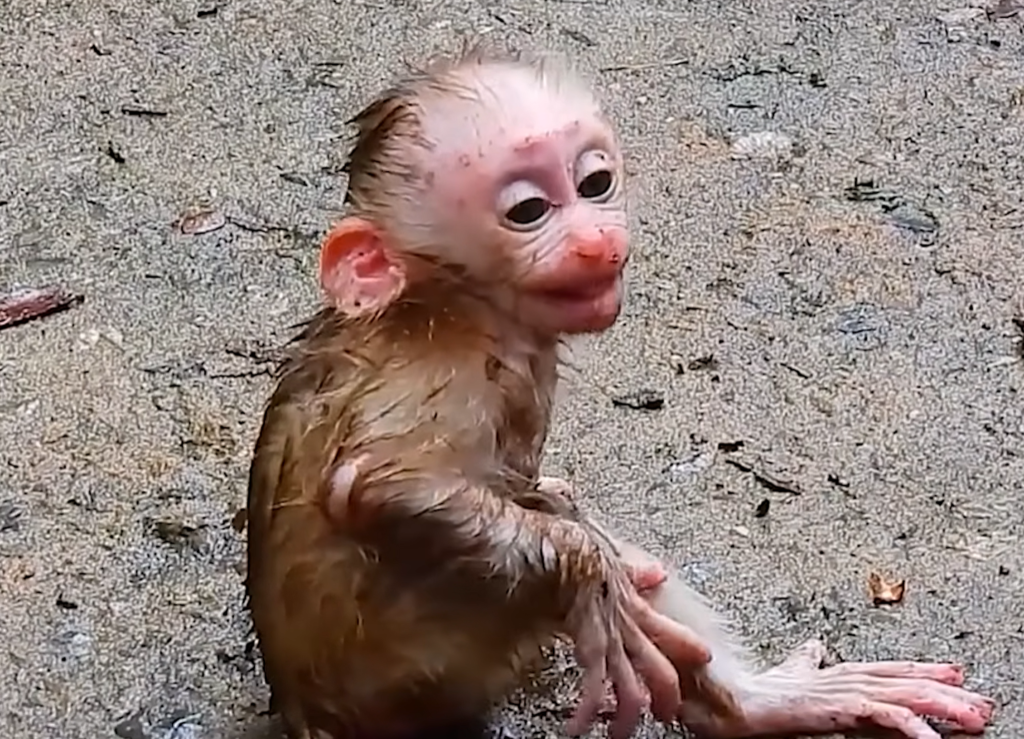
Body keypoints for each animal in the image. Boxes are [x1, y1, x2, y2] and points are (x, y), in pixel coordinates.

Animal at [244, 46, 995, 739]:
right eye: (529, 210)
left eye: (595, 182)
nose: (597, 238)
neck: (464, 306)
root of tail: (306, 710)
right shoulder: (442, 371)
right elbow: (375, 486)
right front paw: (591, 574)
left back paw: (759, 704)